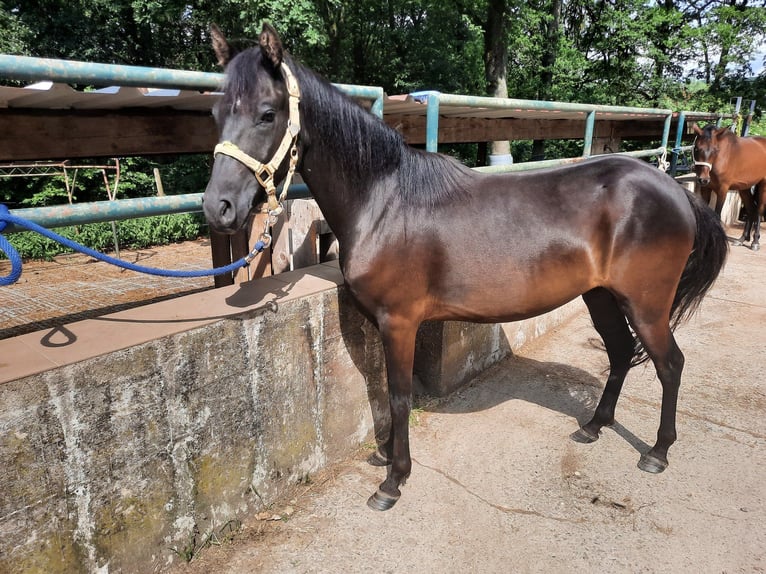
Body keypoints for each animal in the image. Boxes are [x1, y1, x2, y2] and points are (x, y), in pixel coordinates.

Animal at [204, 23, 732, 512]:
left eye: (267, 114)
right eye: (216, 113)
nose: (218, 207)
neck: (385, 200)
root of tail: (676, 191)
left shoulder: (399, 322)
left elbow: (398, 396)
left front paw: (393, 480)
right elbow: (386, 393)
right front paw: (387, 458)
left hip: (646, 304)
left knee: (670, 364)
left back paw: (658, 452)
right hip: (601, 295)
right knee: (621, 353)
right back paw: (594, 426)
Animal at [692, 124, 766, 252]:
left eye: (715, 150)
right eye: (696, 148)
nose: (703, 179)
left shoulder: (722, 189)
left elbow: (717, 214)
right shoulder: (705, 189)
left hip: (763, 185)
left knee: (759, 210)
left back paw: (755, 242)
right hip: (744, 188)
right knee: (751, 209)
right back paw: (742, 239)